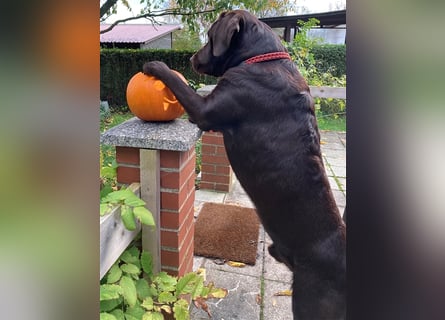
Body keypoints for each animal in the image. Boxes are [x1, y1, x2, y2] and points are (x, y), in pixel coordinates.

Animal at [144, 10, 346, 320]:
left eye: (210, 36)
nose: (191, 58)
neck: (261, 59)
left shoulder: (205, 110)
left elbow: (180, 84)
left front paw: (156, 65)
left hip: (311, 302)